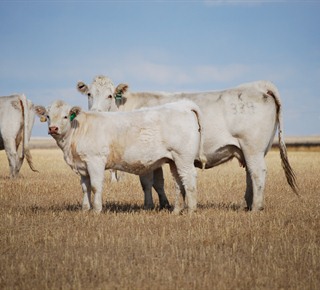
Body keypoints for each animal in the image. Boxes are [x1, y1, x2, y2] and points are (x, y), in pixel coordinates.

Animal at [34, 99, 205, 213]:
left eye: (65, 116)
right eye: (48, 116)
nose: (53, 128)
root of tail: (183, 105)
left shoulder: (95, 161)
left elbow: (95, 186)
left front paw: (96, 210)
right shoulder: (82, 166)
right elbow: (85, 188)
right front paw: (85, 209)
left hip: (184, 157)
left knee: (189, 179)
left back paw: (191, 211)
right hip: (174, 160)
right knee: (179, 183)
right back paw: (176, 211)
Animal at [77, 75, 298, 211]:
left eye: (110, 95)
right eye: (89, 94)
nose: (96, 112)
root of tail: (258, 85)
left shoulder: (144, 155)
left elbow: (147, 182)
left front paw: (150, 206)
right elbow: (158, 182)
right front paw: (164, 205)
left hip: (253, 148)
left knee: (257, 173)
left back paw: (256, 207)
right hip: (250, 150)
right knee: (250, 175)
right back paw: (248, 204)